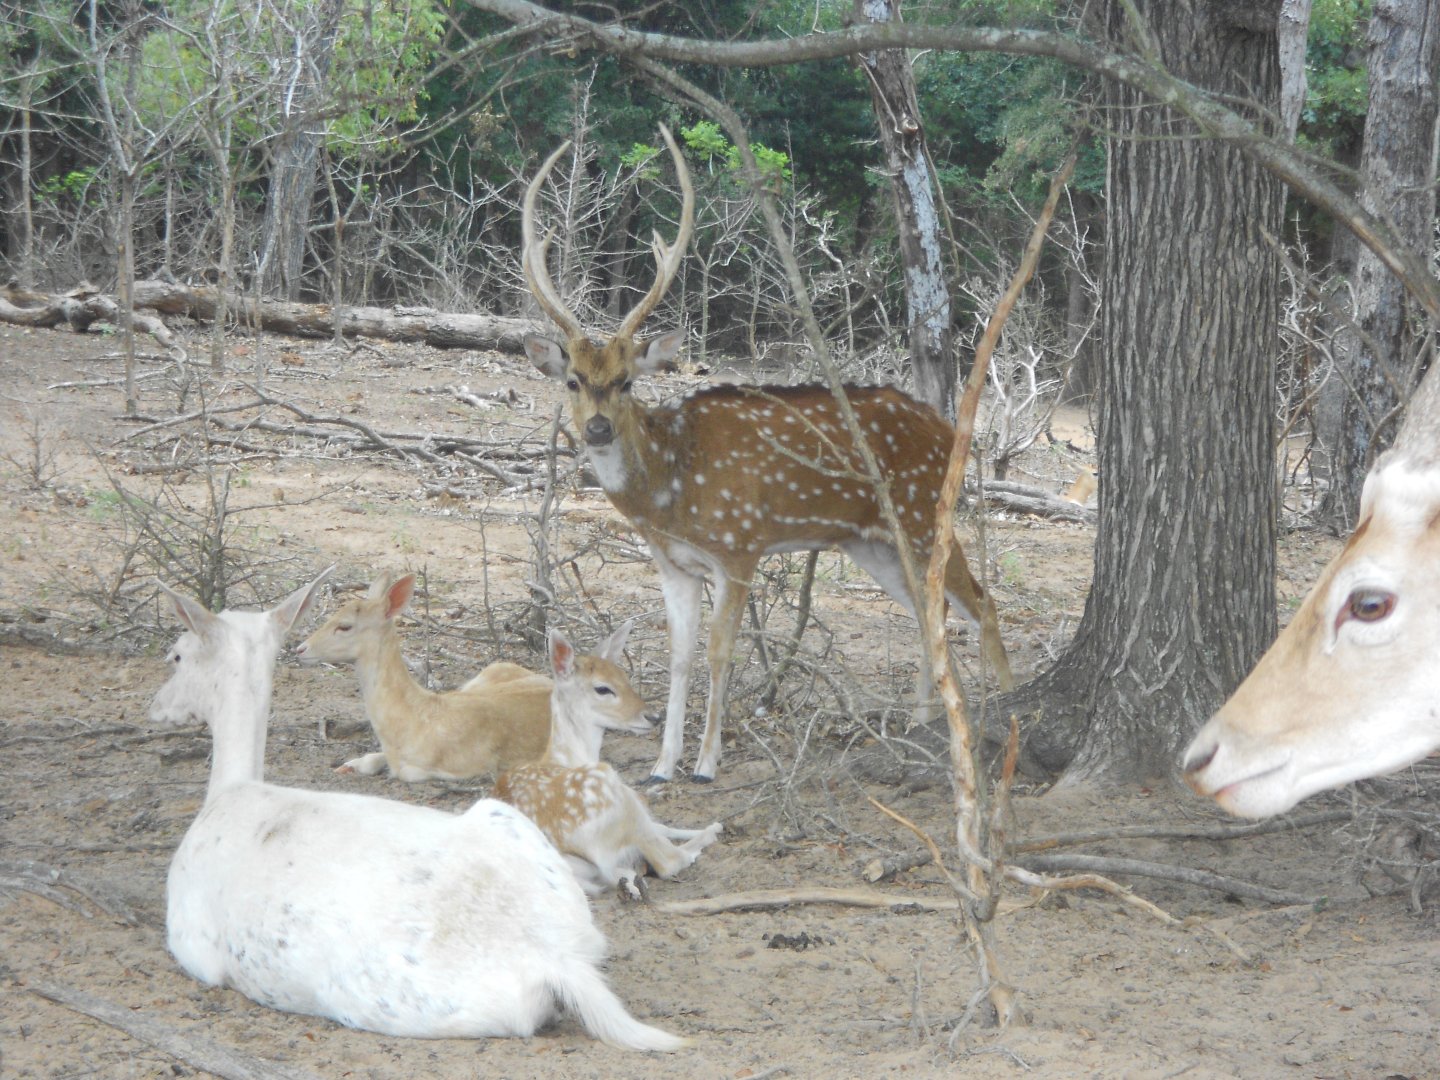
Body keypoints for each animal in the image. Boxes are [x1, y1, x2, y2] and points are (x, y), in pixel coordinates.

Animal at [496, 627, 724, 898]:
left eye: (624, 676)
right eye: (602, 688)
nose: (654, 716)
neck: (565, 756)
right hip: (613, 790)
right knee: (669, 860)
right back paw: (711, 832)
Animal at [521, 126, 1013, 783]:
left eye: (625, 380)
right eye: (574, 380)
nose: (598, 428)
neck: (670, 490)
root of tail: (949, 430)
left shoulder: (740, 544)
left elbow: (719, 652)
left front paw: (706, 763)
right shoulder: (672, 564)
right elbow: (679, 656)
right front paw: (662, 764)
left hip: (924, 514)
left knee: (982, 605)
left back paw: (1005, 713)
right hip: (872, 542)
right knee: (927, 613)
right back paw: (919, 727)